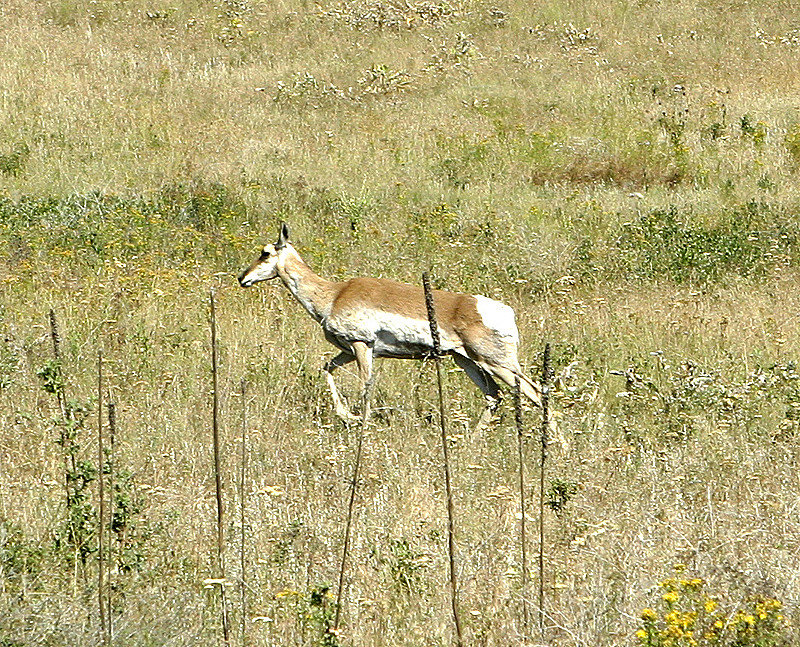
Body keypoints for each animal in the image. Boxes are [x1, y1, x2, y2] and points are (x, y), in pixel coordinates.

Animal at [234, 223, 540, 426]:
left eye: (265, 253)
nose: (242, 278)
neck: (334, 294)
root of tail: (502, 311)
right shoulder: (347, 350)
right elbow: (326, 369)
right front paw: (348, 415)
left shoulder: (361, 346)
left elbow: (366, 386)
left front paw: (362, 424)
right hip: (466, 361)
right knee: (494, 396)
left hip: (497, 363)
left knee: (535, 392)